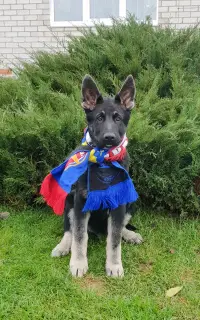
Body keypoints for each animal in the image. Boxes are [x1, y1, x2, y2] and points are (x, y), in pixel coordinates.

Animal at [50, 74, 143, 276]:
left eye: (118, 118)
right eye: (99, 118)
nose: (109, 138)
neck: (103, 161)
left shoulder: (119, 203)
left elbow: (114, 240)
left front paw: (114, 265)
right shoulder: (81, 203)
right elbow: (79, 236)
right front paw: (78, 263)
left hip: (130, 204)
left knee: (118, 229)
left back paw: (129, 234)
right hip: (69, 201)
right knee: (69, 231)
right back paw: (63, 246)